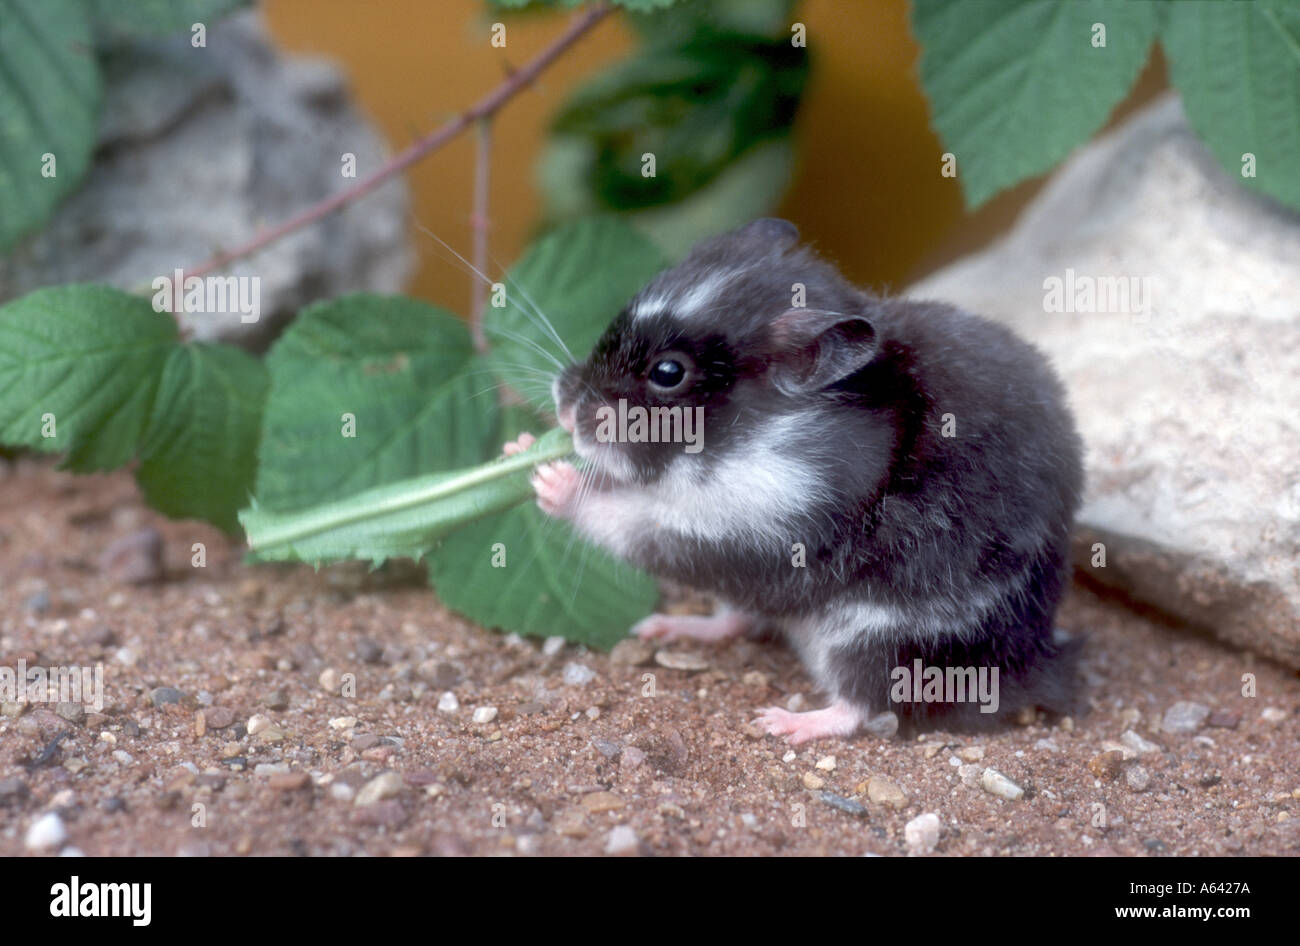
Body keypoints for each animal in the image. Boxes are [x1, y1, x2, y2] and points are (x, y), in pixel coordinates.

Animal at [507, 218, 1084, 743]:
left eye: (668, 373)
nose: (565, 406)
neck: (739, 443)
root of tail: (1035, 668)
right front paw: (519, 450)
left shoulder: (758, 534)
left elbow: (633, 524)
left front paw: (551, 481)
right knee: (738, 621)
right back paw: (663, 628)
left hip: (878, 641)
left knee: (862, 706)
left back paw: (781, 723)